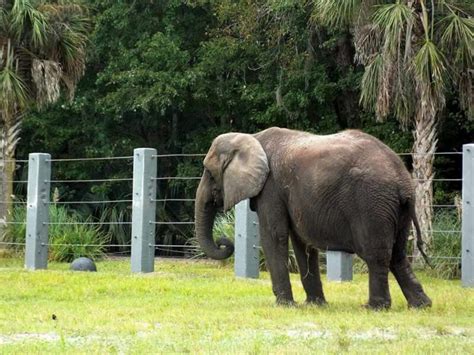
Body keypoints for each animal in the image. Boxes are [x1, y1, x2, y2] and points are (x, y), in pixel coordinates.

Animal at [193, 126, 434, 310]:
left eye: (209, 173)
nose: (224, 241)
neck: (252, 138)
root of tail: (404, 182)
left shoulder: (271, 187)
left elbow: (274, 236)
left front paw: (284, 305)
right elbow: (301, 243)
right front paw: (315, 305)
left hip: (372, 203)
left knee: (376, 255)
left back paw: (374, 307)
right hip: (395, 210)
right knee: (398, 255)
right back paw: (421, 305)